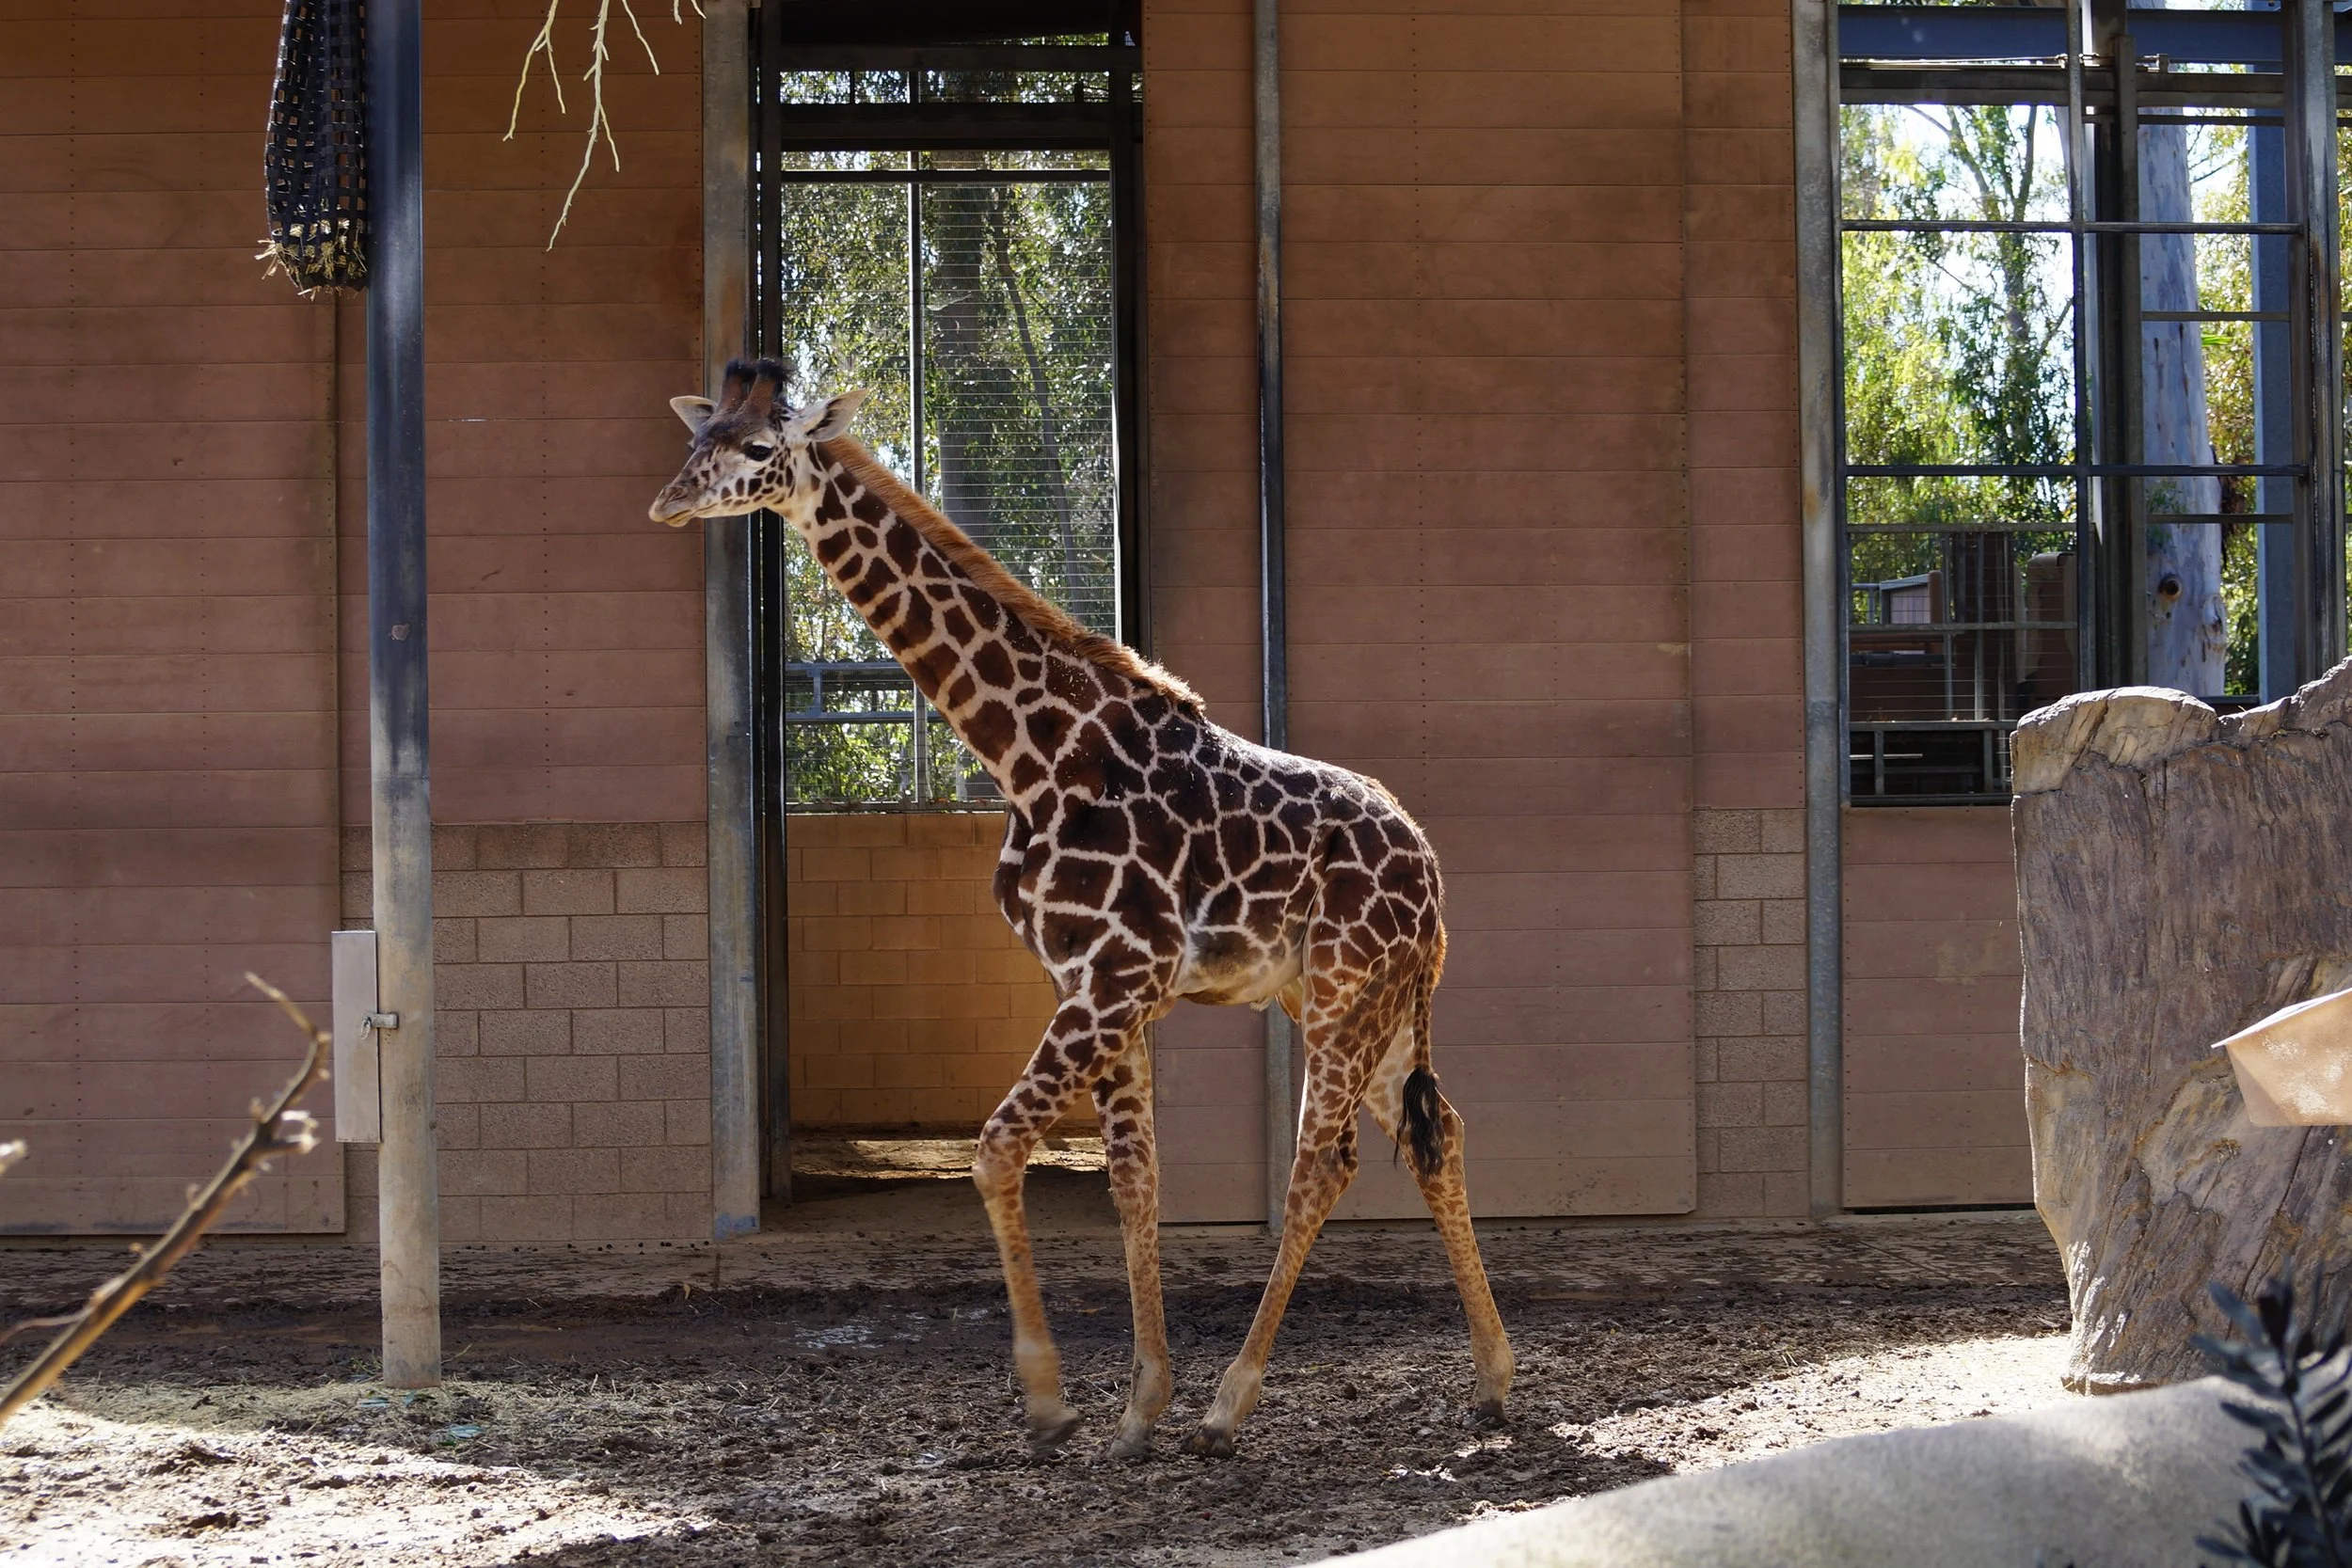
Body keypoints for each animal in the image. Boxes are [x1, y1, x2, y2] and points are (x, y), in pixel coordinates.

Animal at [652, 360, 1512, 1460]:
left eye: (760, 448)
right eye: (698, 436)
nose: (670, 501)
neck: (1036, 757)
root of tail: (1434, 876)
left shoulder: (1114, 978)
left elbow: (995, 1149)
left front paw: (1051, 1396)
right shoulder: (1103, 984)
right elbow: (1132, 1178)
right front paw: (1138, 1405)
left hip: (1340, 995)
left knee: (1323, 1165)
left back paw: (1232, 1404)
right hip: (1366, 1004)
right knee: (1438, 1132)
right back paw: (1493, 1379)